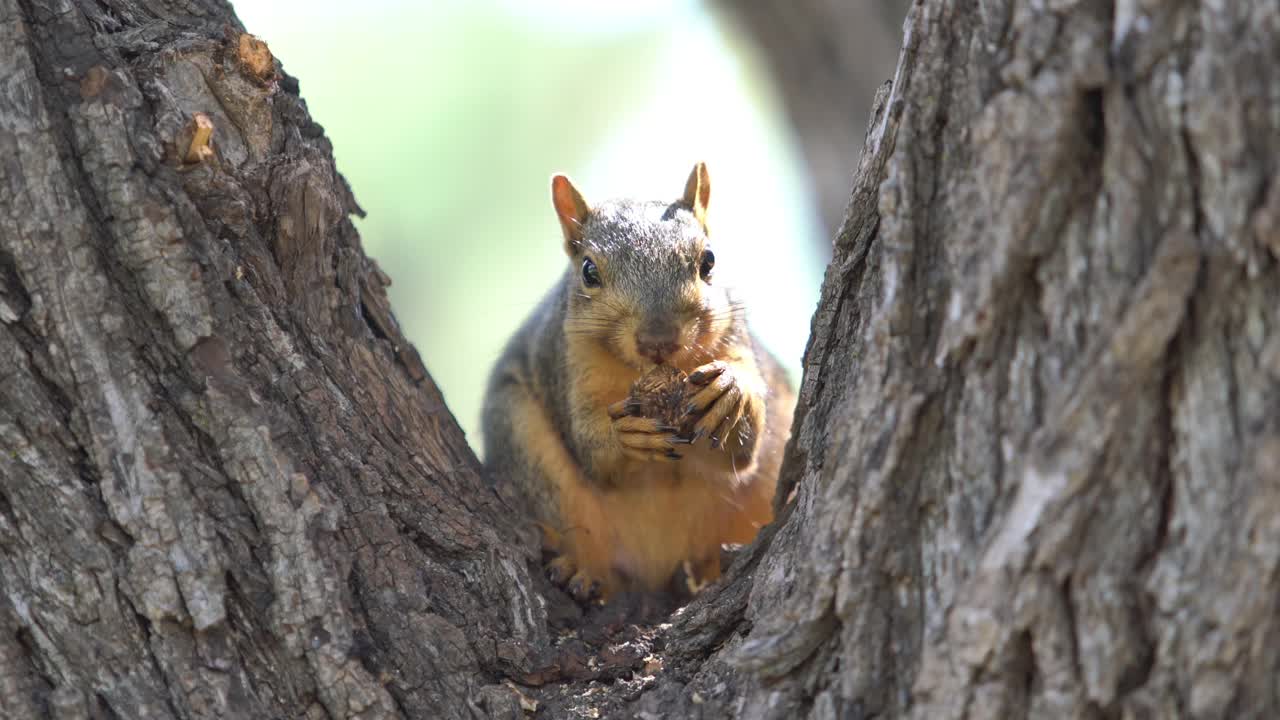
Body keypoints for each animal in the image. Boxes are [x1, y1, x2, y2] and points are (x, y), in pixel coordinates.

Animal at [483, 162, 793, 599]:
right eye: (588, 271)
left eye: (709, 261)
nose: (657, 340)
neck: (640, 372)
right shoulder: (564, 363)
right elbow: (589, 447)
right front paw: (623, 434)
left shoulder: (734, 340)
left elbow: (742, 451)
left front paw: (733, 392)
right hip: (524, 442)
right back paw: (582, 570)